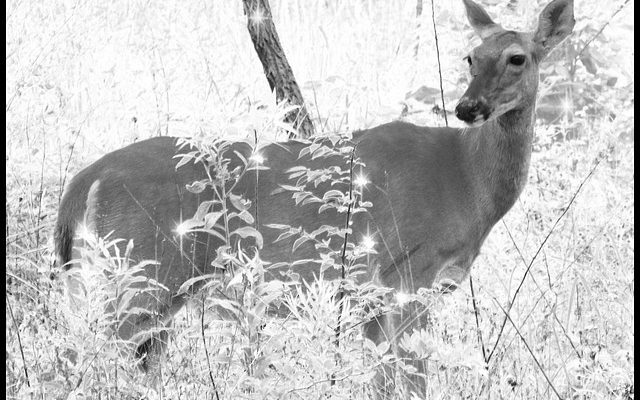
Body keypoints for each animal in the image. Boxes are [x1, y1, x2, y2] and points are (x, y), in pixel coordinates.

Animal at [55, 0, 576, 396]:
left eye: (517, 58)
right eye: (471, 57)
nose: (468, 107)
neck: (465, 180)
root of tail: (83, 182)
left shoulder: (378, 295)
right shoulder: (403, 276)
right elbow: (410, 381)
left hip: (127, 283)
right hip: (139, 269)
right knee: (86, 354)